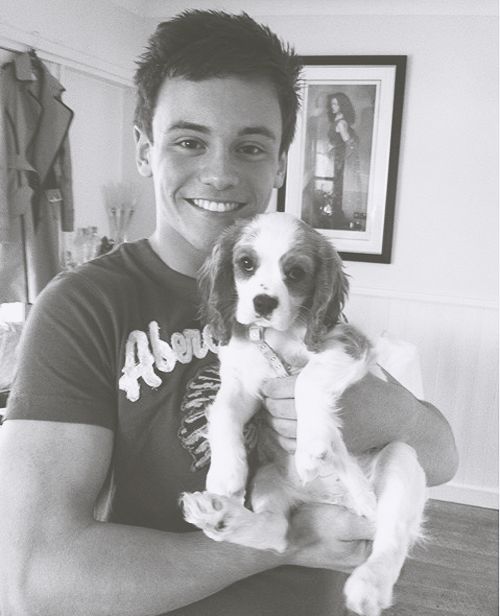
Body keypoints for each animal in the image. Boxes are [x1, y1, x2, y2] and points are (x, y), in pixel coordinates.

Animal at [182, 213, 428, 616]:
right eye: (245, 263)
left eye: (295, 273)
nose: (263, 302)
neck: (275, 337)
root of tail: (334, 501)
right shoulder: (242, 383)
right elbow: (222, 415)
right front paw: (225, 474)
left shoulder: (348, 346)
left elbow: (306, 381)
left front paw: (312, 446)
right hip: (268, 475)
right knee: (277, 534)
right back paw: (218, 516)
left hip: (400, 458)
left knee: (392, 537)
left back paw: (369, 583)